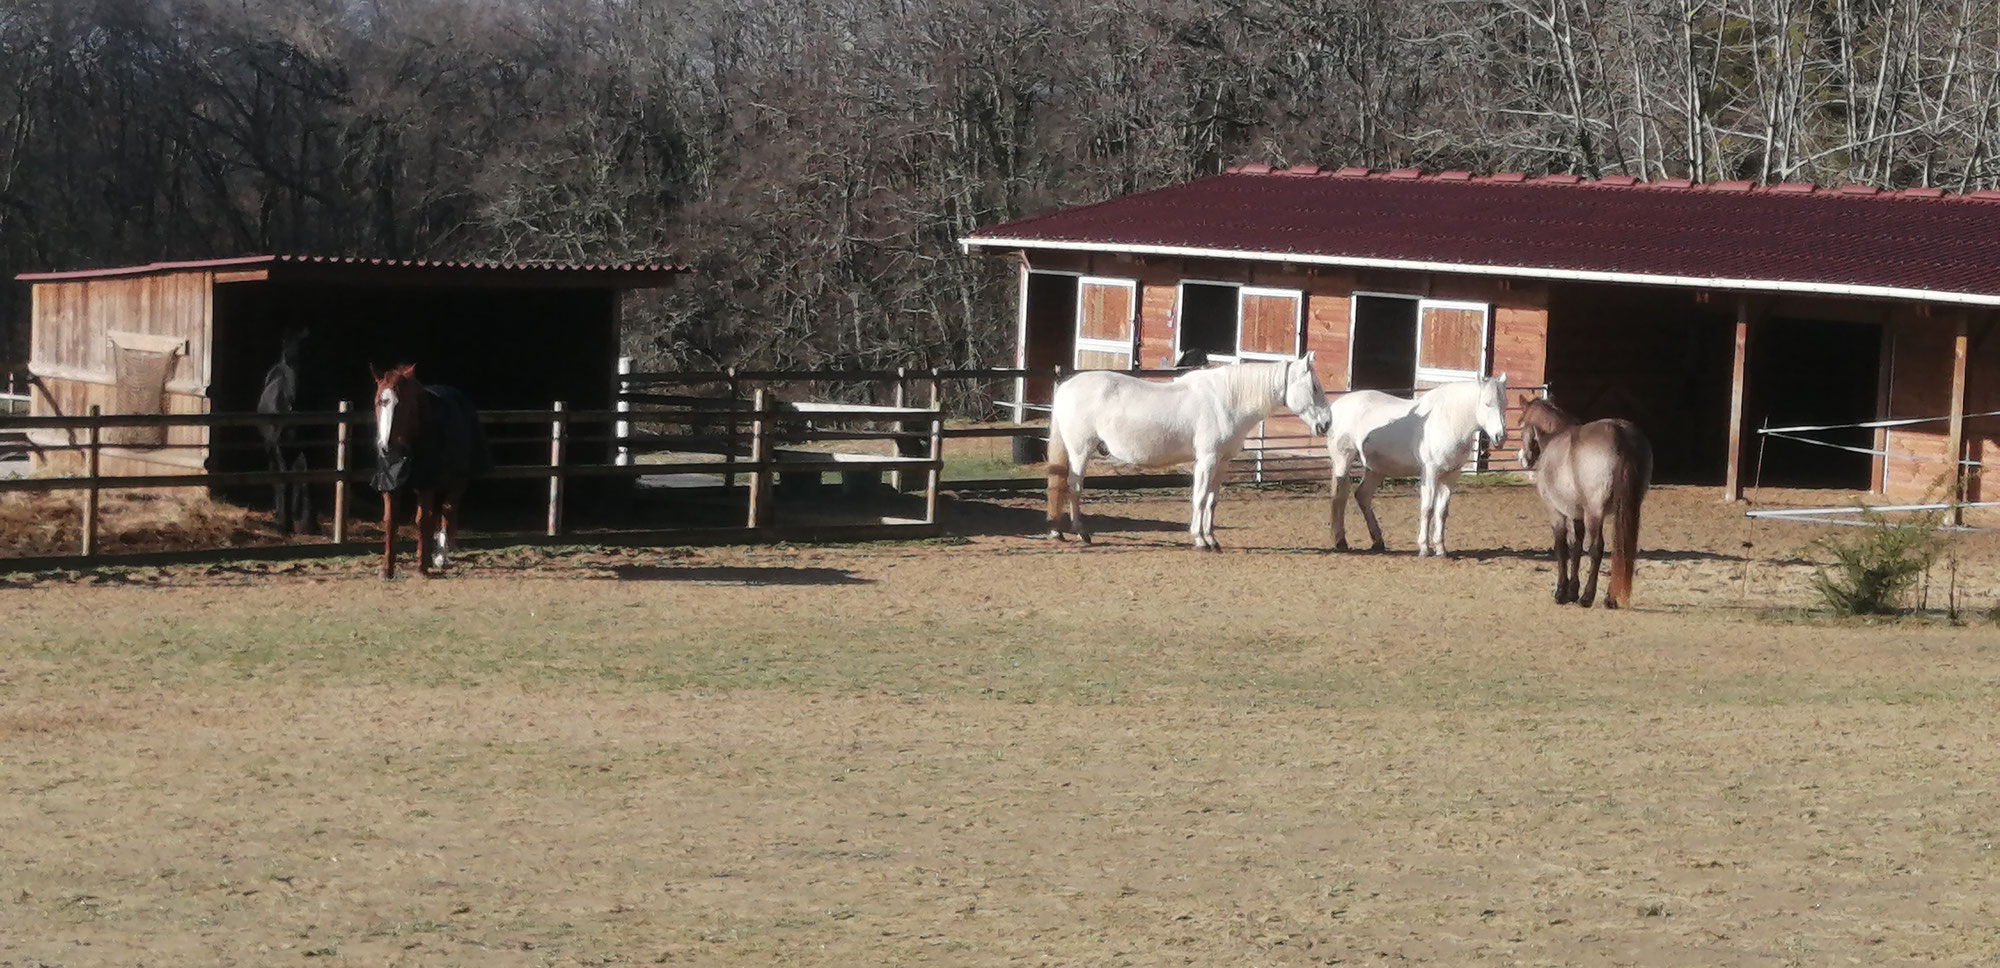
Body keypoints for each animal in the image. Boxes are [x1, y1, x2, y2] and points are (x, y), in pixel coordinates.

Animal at [374, 362, 490, 576]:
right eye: (380, 402)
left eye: (403, 404)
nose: (387, 447)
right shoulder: (390, 483)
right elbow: (390, 521)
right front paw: (387, 569)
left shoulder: (426, 483)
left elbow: (422, 520)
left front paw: (422, 567)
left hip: (458, 480)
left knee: (448, 511)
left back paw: (439, 558)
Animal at [1048, 356, 1328, 552]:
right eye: (1314, 386)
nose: (1326, 424)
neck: (1226, 402)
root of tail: (1066, 386)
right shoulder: (1206, 459)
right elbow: (1200, 497)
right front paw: (1200, 539)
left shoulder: (1222, 463)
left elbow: (1212, 501)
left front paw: (1212, 539)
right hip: (1080, 450)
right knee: (1074, 487)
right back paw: (1081, 532)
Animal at [1328, 378, 1504, 560]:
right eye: (1487, 403)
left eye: (1504, 403)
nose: (1500, 436)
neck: (1448, 419)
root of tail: (1336, 406)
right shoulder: (1430, 472)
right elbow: (1427, 509)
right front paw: (1424, 549)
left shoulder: (1451, 476)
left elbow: (1442, 511)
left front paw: (1441, 549)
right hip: (1343, 460)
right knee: (1340, 496)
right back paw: (1341, 541)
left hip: (1376, 469)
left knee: (1362, 496)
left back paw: (1378, 541)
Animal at [1512, 398, 1656, 608]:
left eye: (1520, 424)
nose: (1523, 458)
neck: (1555, 437)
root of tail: (1619, 432)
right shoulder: (1576, 514)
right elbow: (1576, 547)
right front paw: (1572, 591)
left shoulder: (1556, 513)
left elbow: (1562, 548)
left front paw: (1561, 593)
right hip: (1628, 508)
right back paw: (1609, 598)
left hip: (1594, 514)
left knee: (1596, 548)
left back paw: (1588, 597)